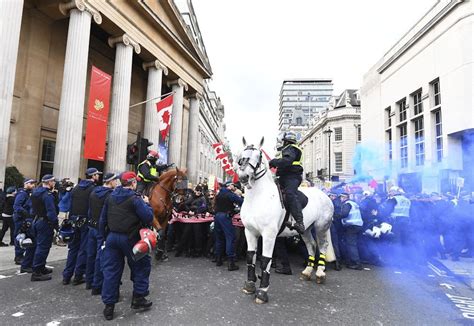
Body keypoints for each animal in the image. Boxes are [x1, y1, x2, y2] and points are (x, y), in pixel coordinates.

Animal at [237, 137, 334, 304]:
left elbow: (265, 260)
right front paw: (249, 285)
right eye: (242, 155)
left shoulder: (269, 235)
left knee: (322, 246)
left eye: (259, 156)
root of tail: (325, 195)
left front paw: (262, 292)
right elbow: (251, 256)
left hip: (321, 227)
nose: (244, 177)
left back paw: (320, 273)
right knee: (311, 244)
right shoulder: (250, 232)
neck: (257, 198)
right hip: (306, 229)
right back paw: (307, 271)